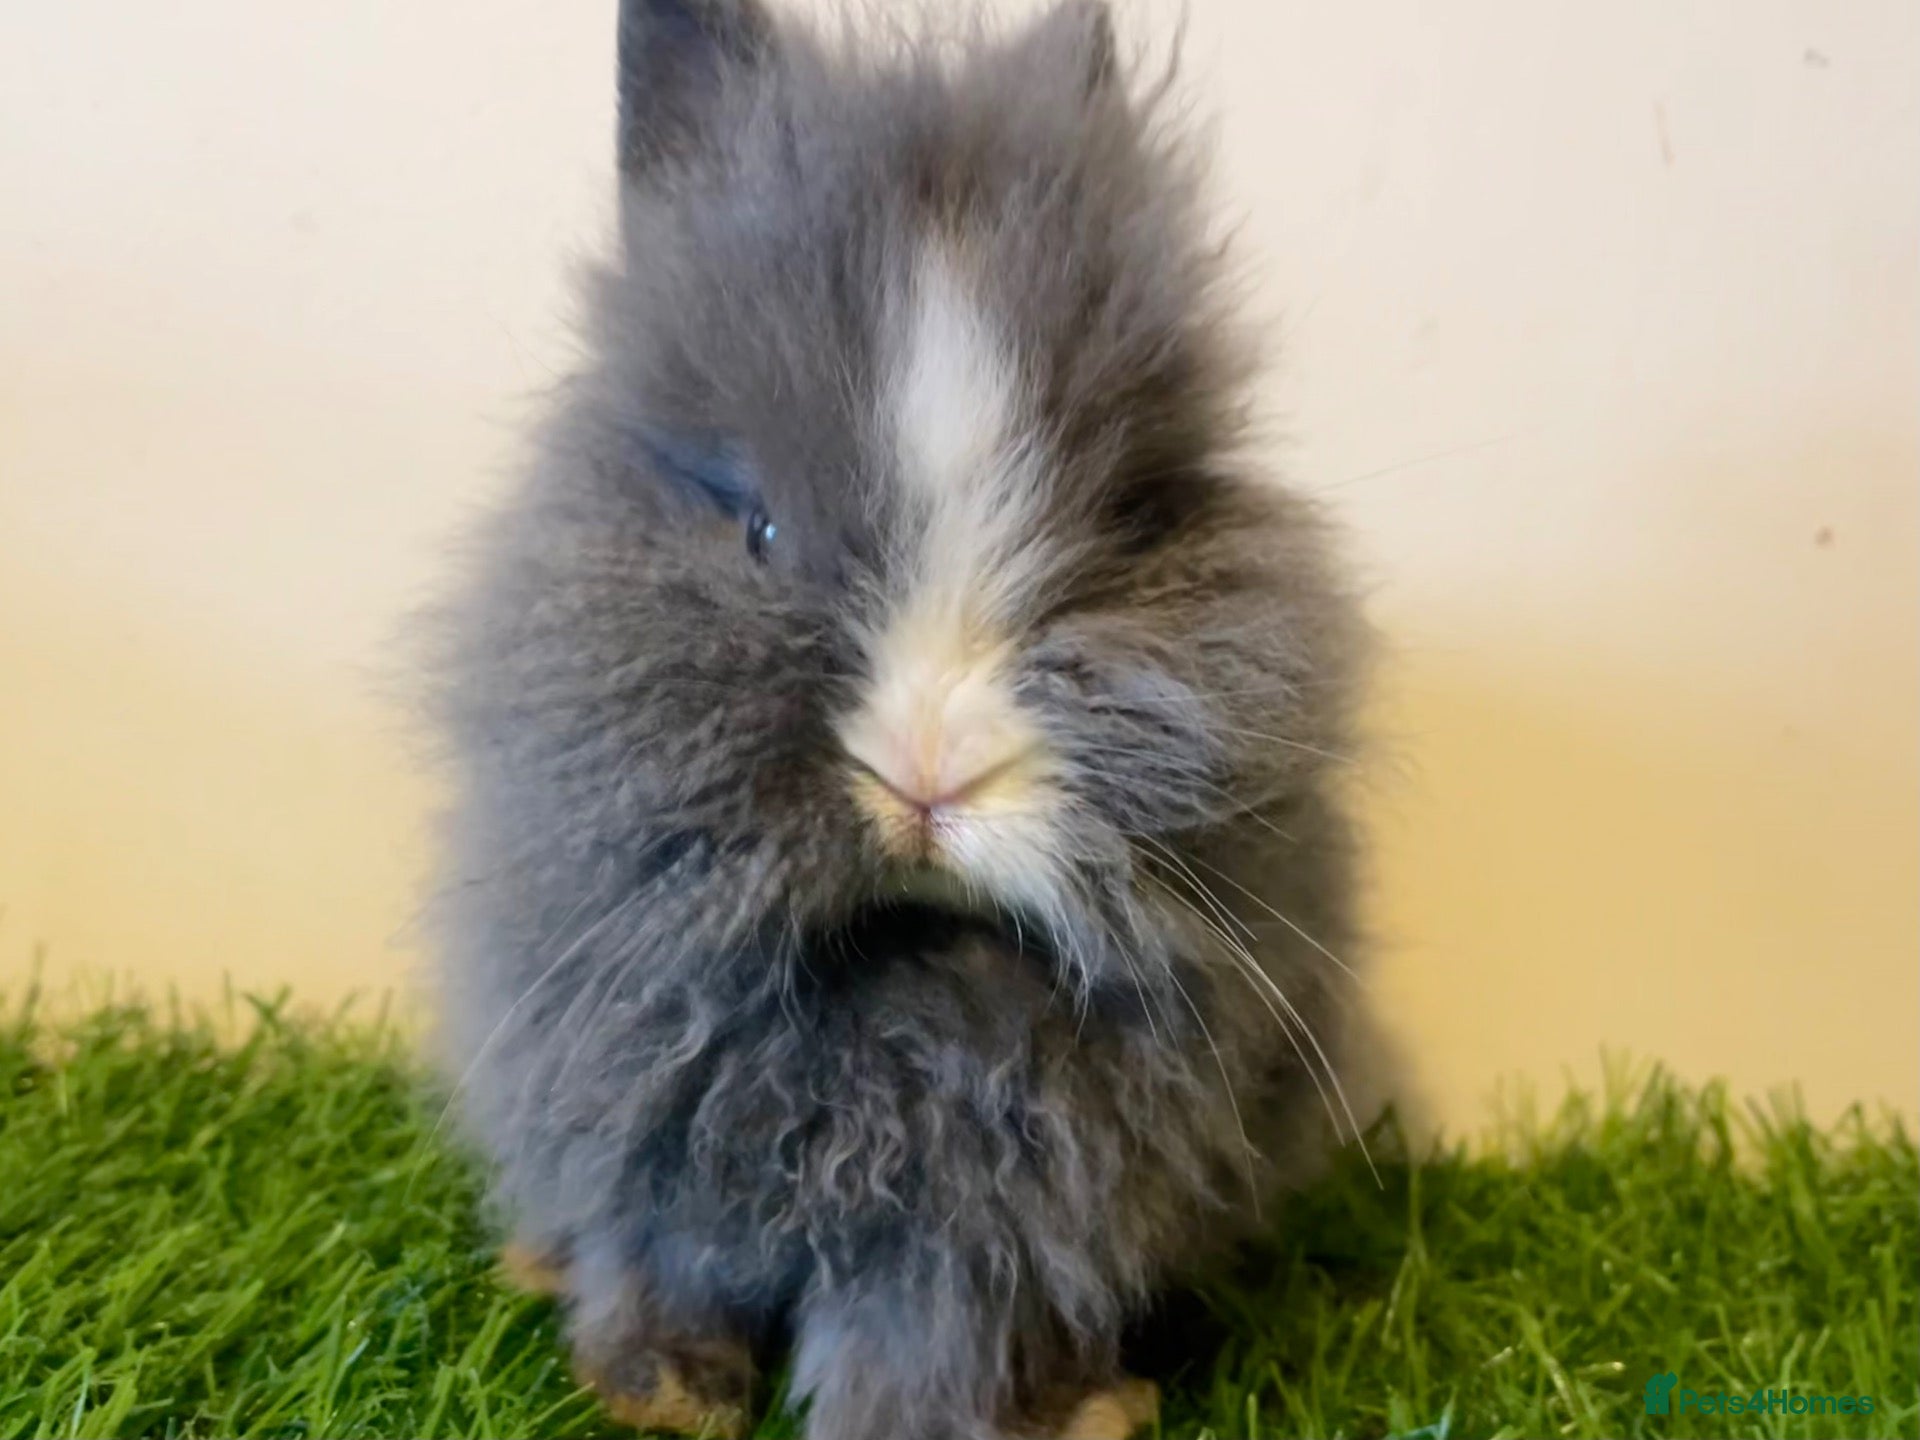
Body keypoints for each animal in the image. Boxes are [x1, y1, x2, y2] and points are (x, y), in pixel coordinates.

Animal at [424, 2, 1370, 1437]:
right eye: (759, 532)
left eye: (1120, 528)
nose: (930, 775)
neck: (895, 973)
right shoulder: (640, 1111)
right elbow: (659, 1259)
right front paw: (663, 1393)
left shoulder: (988, 1227)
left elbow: (930, 1341)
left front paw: (918, 1421)